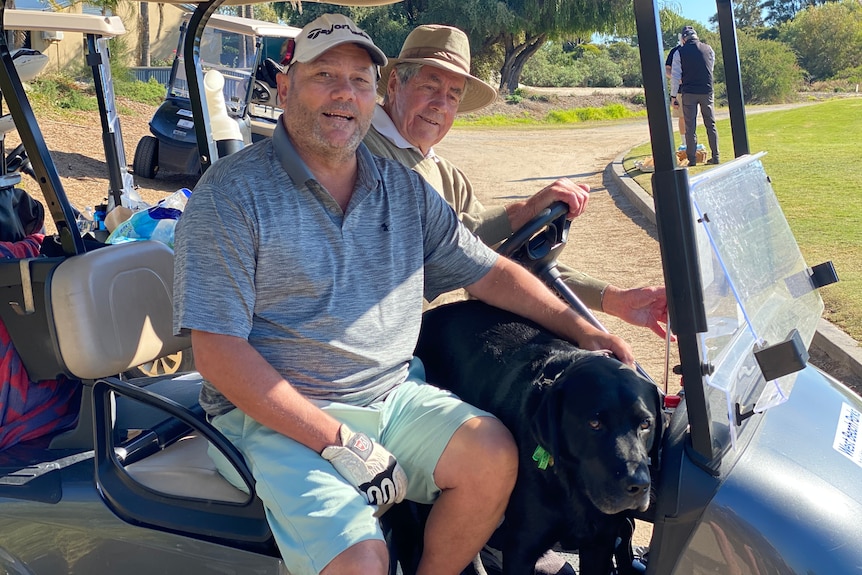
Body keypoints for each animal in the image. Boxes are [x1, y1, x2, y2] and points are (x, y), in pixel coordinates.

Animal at [416, 302, 664, 575]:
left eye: (646, 423)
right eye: (595, 423)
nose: (638, 485)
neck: (571, 488)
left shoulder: (600, 545)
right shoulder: (521, 548)